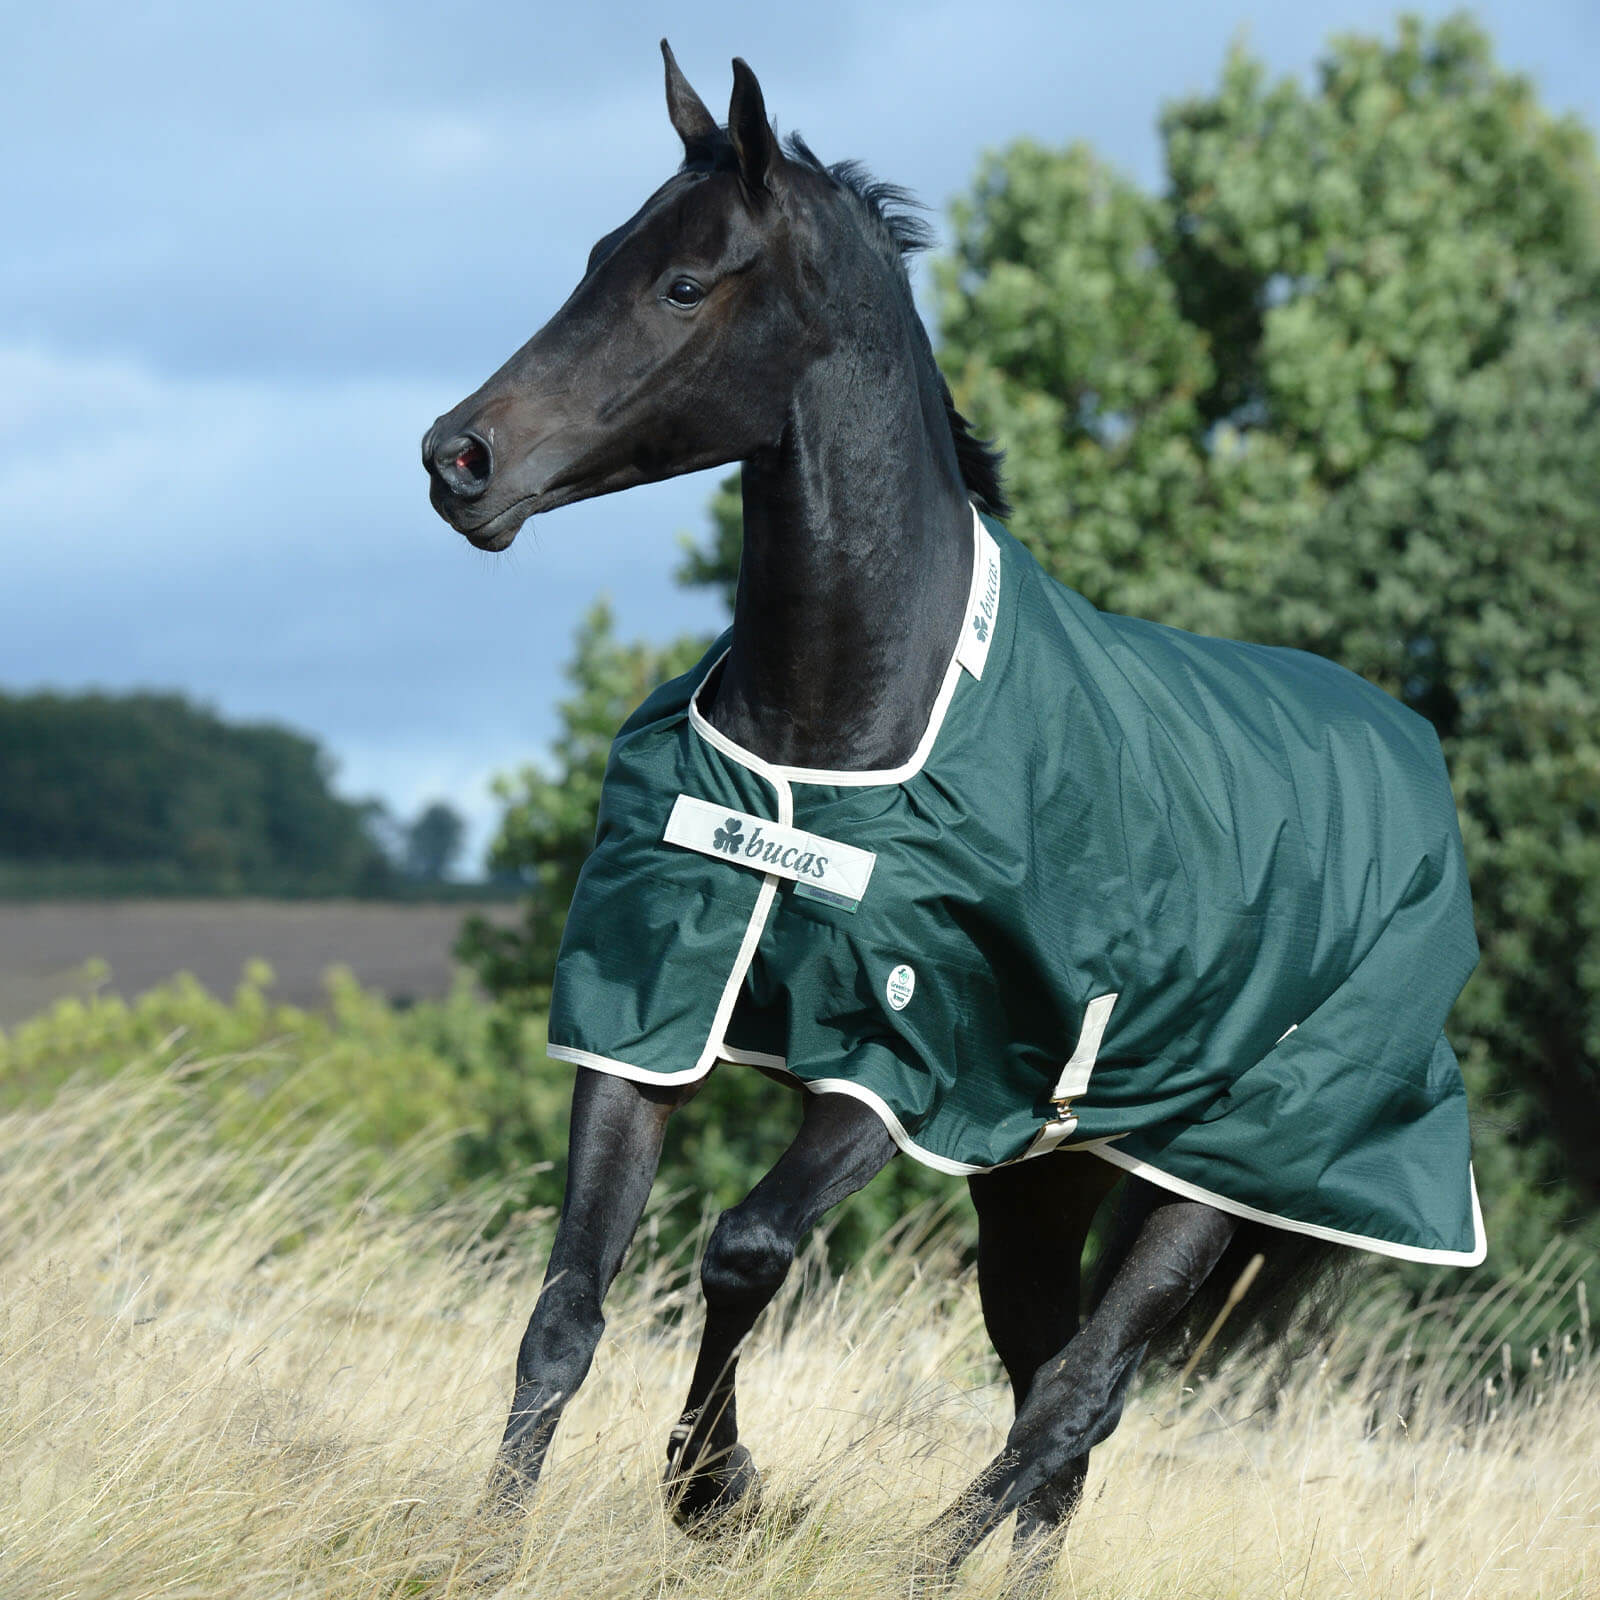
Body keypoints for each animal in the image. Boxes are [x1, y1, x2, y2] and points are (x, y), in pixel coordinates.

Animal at [422, 44, 1483, 1592]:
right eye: (595, 257)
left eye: (683, 283)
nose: (460, 460)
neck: (838, 734)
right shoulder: (642, 1021)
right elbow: (564, 1308)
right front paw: (485, 1544)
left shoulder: (909, 1069)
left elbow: (743, 1249)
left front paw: (718, 1492)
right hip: (1043, 1187)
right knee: (1054, 1404)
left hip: (1226, 1174)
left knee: (1075, 1399)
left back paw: (918, 1558)